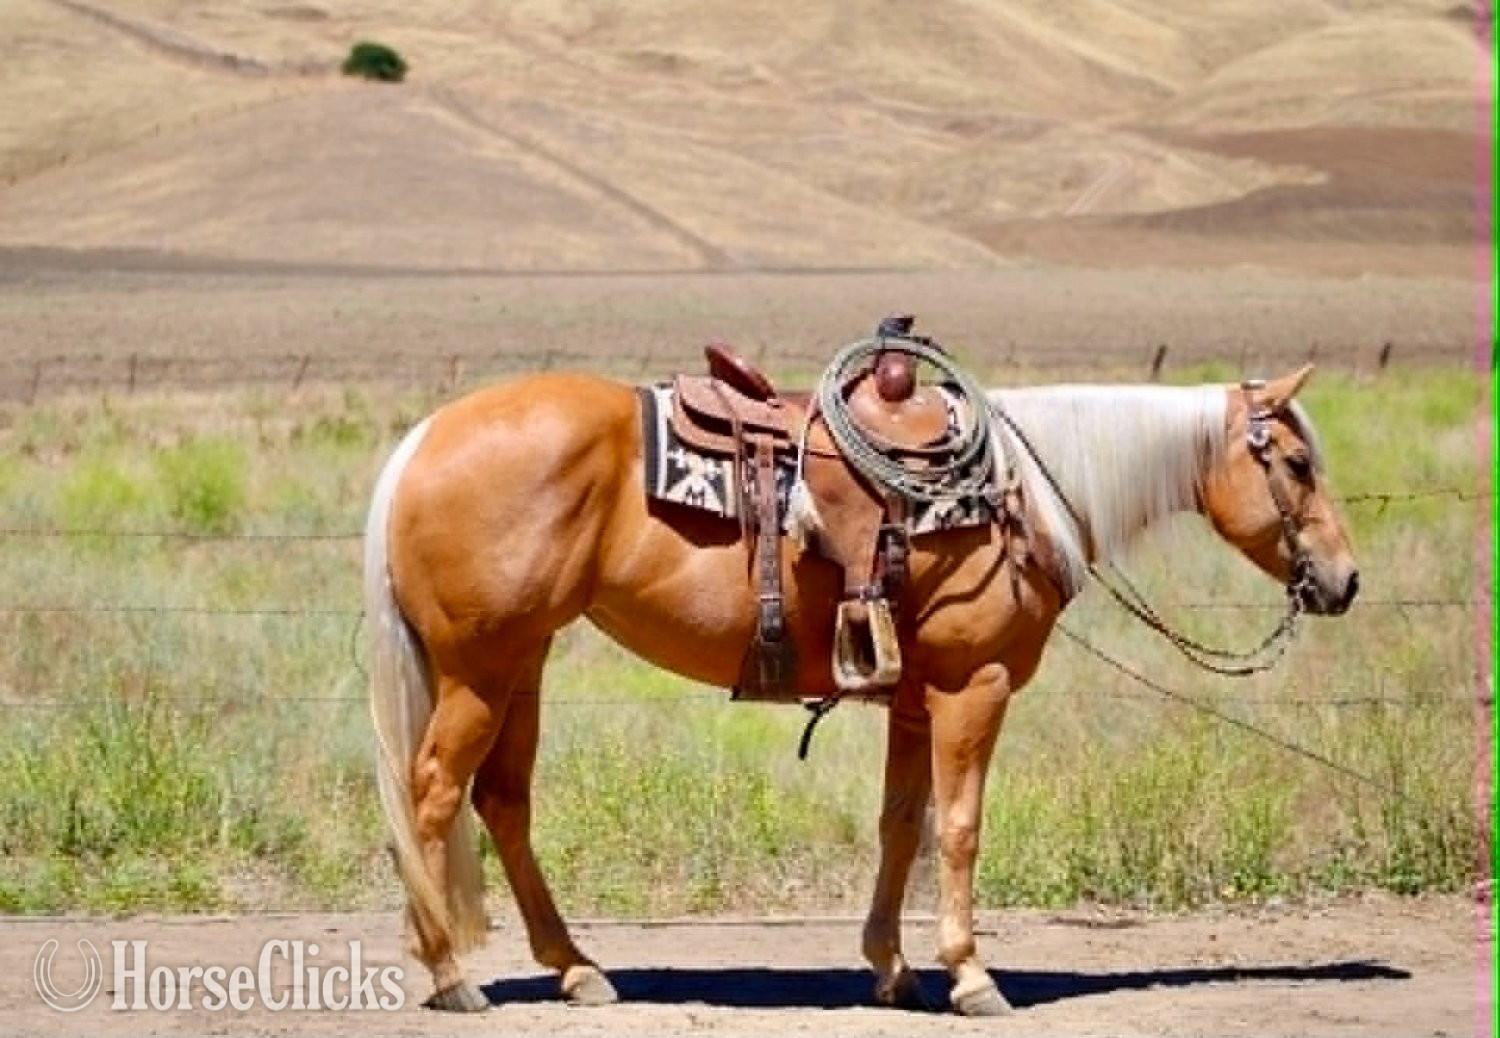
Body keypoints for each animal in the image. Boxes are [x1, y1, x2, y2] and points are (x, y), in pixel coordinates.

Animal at [362, 359, 1358, 1016]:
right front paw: (970, 975)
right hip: (481, 669)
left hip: (519, 663)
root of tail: (424, 438)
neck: (1015, 496)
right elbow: (959, 829)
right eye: (1297, 466)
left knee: (503, 801)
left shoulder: (916, 701)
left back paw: (576, 968)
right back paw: (451, 975)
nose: (1344, 581)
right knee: (435, 794)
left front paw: (892, 968)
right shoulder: (973, 687)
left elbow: (900, 826)